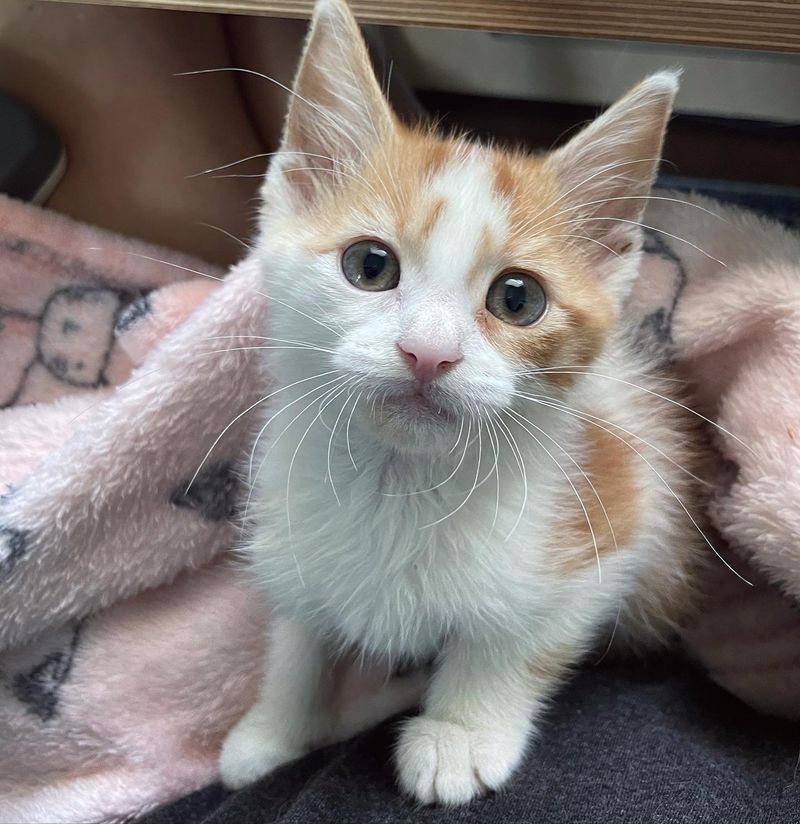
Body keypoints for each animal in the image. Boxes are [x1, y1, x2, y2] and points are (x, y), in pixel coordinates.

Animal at [219, 0, 700, 800]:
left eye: (518, 298)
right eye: (369, 265)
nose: (428, 353)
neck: (400, 486)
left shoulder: (621, 513)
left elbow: (515, 634)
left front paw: (461, 733)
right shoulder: (289, 535)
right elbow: (300, 633)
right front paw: (273, 728)